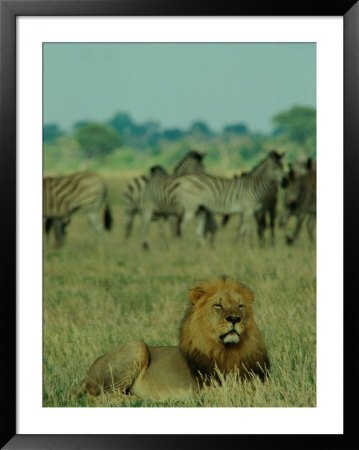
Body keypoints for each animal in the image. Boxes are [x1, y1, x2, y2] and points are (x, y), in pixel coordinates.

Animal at [74, 276, 270, 402]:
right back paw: (141, 400)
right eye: (218, 305)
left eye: (240, 306)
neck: (228, 351)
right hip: (137, 346)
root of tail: (87, 373)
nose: (234, 319)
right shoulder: (209, 390)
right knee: (102, 397)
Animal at [140, 150, 284, 248]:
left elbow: (243, 229)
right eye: (275, 168)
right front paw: (248, 246)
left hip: (198, 208)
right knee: (177, 225)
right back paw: (180, 246)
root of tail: (185, 179)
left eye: (283, 167)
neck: (254, 186)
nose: (285, 182)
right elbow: (247, 229)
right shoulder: (248, 209)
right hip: (185, 207)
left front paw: (241, 245)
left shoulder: (247, 211)